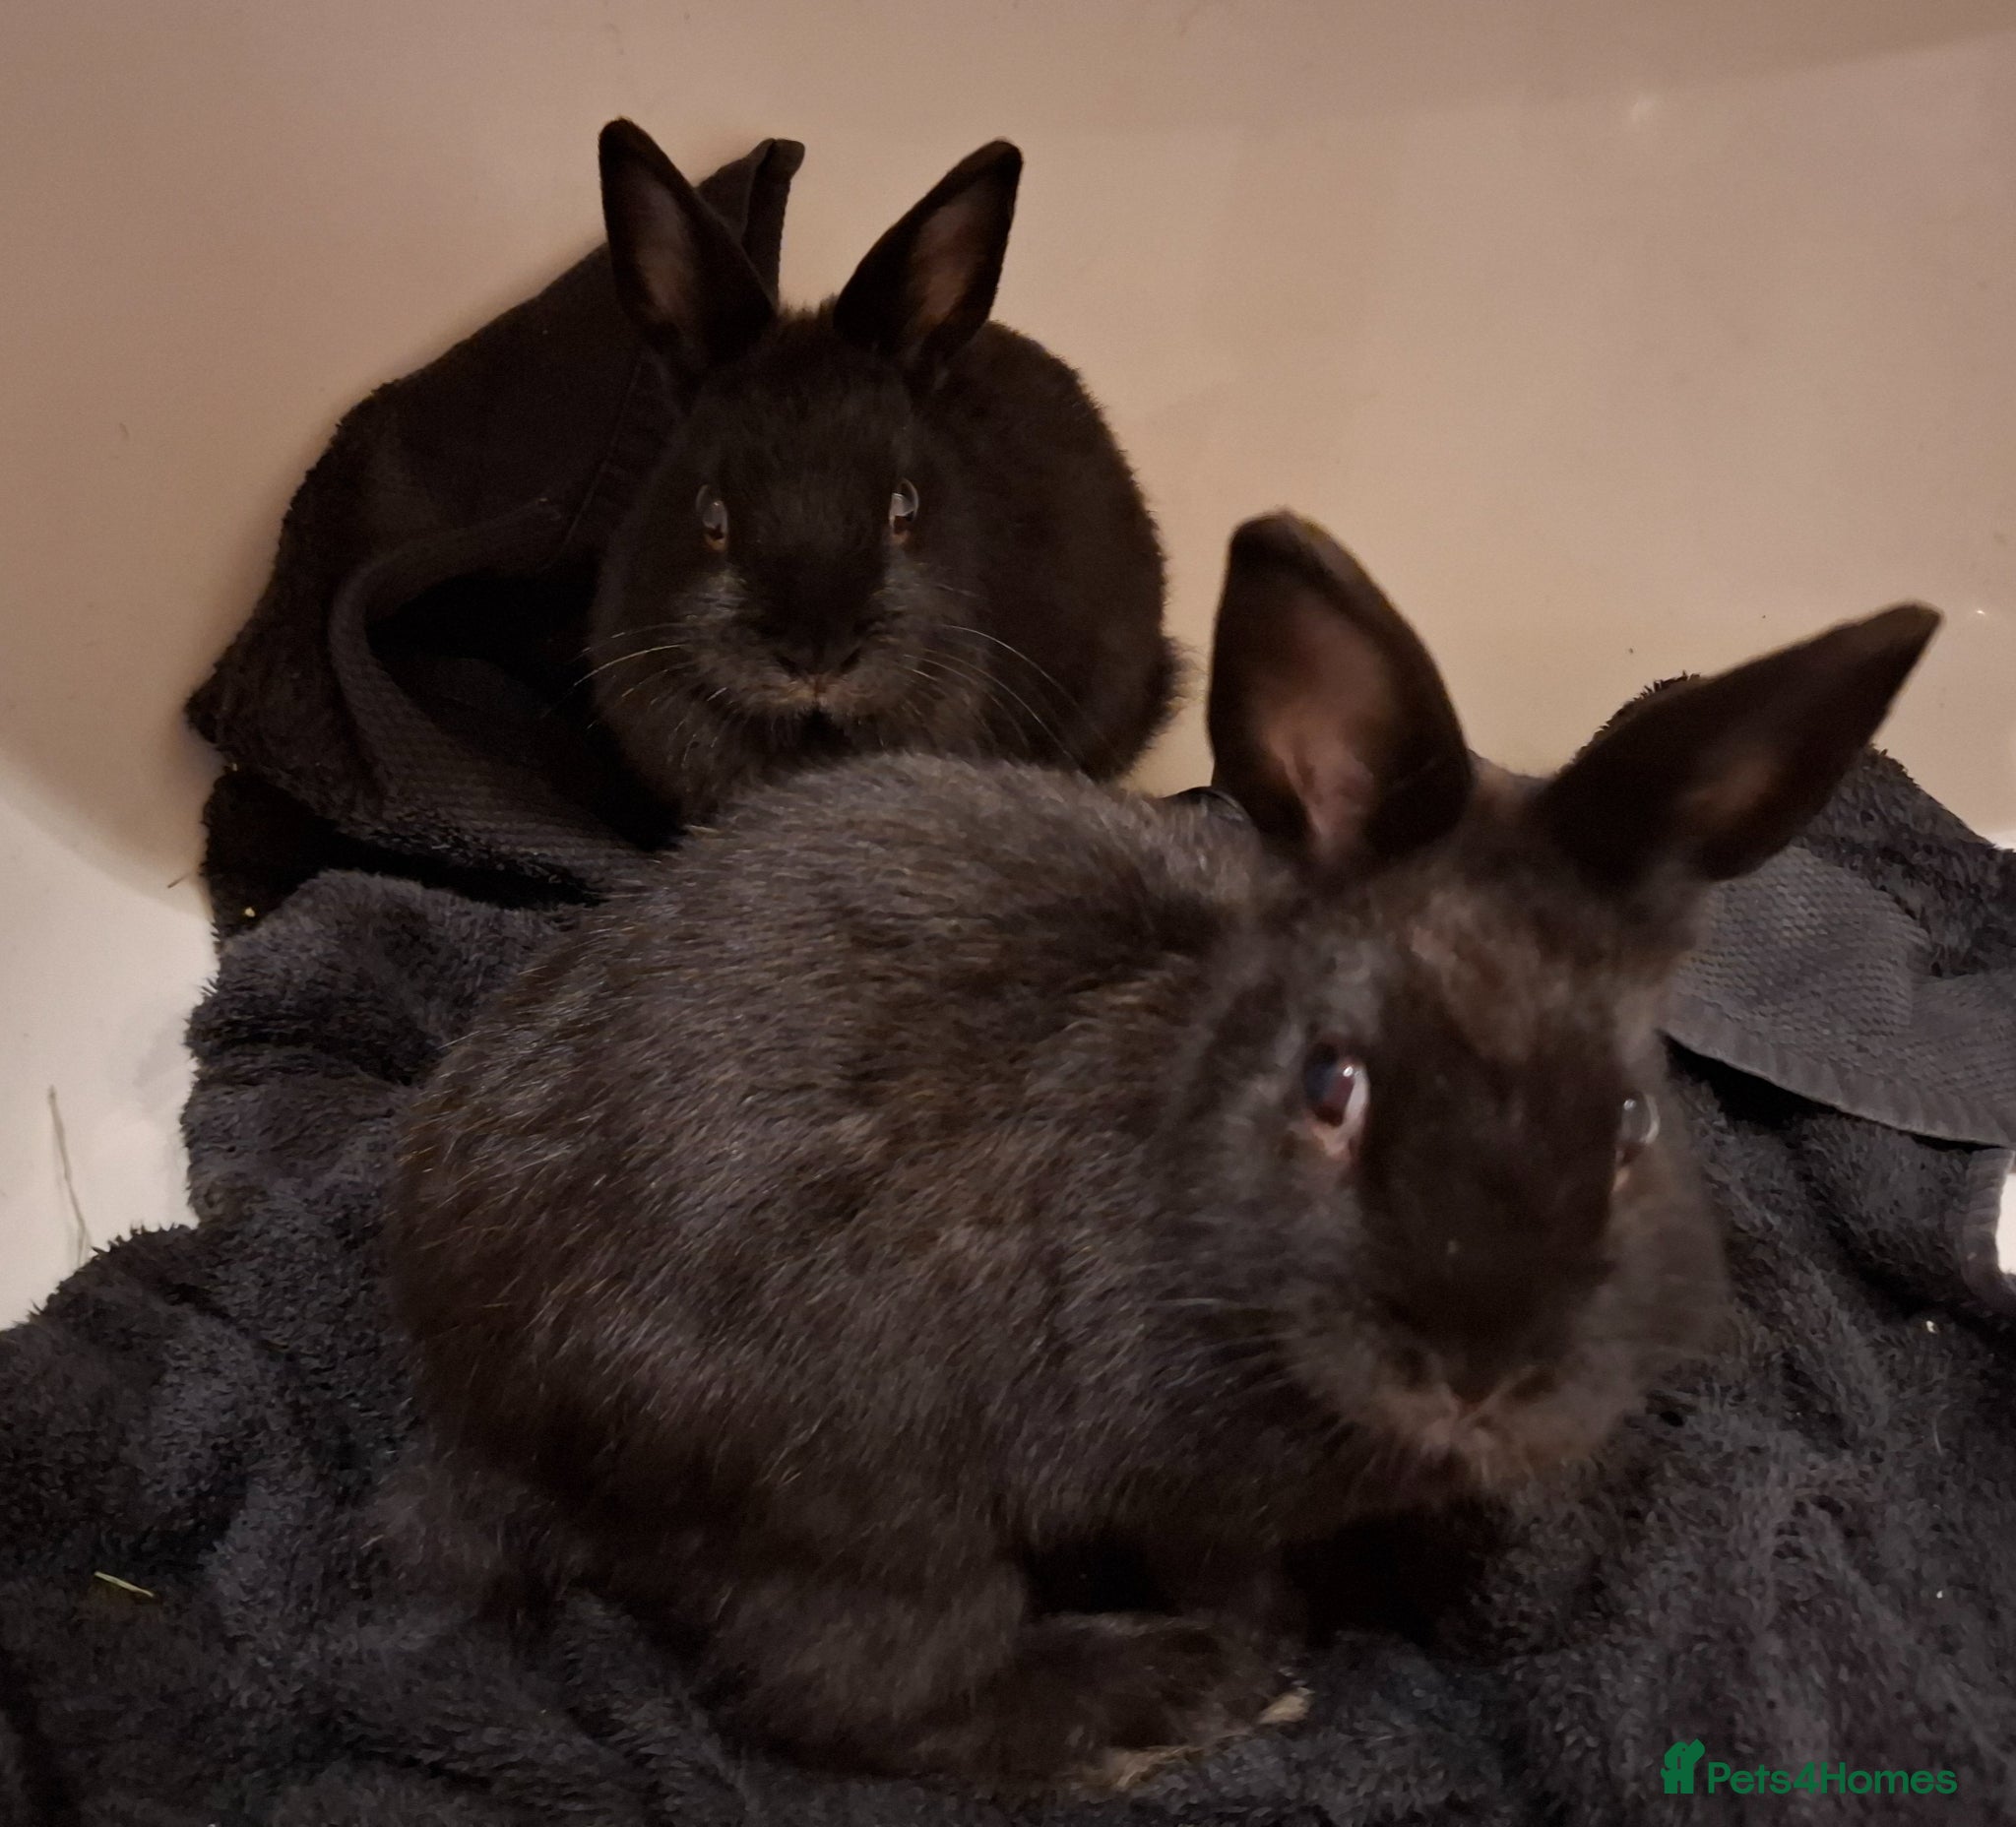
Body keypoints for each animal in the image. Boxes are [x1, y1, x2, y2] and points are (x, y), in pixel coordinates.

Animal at [387, 512, 1936, 1788]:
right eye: (1330, 1084)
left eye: (1631, 1120)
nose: (1478, 1374)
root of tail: (470, 1373)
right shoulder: (1182, 1486)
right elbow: (1228, 1573)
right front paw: (1276, 1648)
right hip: (854, 1502)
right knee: (856, 1694)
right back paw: (1170, 1700)